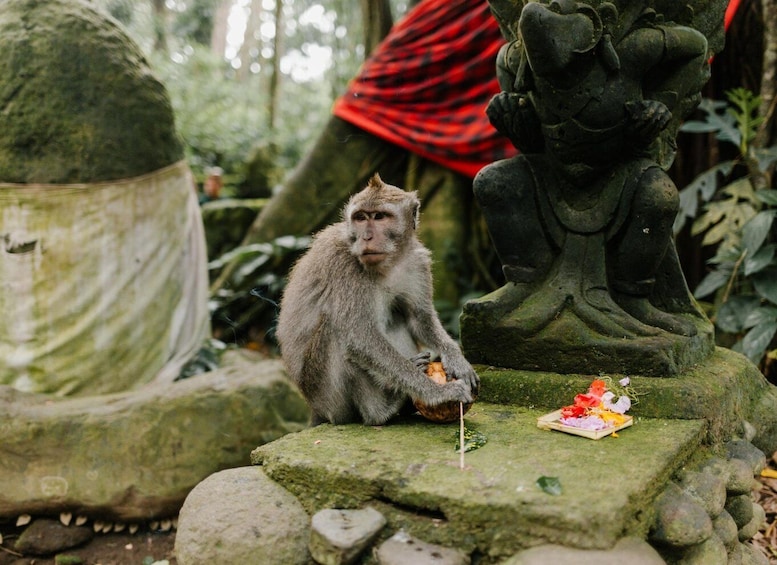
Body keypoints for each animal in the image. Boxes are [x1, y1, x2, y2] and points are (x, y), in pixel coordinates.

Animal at [276, 174, 479, 426]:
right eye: (360, 218)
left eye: (380, 216)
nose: (366, 237)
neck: (390, 262)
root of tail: (315, 408)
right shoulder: (346, 267)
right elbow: (359, 338)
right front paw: (438, 393)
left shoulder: (417, 261)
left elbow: (419, 317)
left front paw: (456, 359)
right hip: (326, 395)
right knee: (336, 329)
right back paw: (383, 409)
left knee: (396, 316)